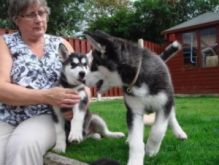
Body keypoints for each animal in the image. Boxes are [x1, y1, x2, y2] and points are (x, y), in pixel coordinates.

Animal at [84, 31, 187, 165]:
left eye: (94, 66)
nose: (82, 79)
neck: (137, 78)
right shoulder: (134, 111)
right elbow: (136, 141)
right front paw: (135, 159)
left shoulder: (164, 105)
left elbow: (158, 130)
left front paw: (151, 149)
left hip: (169, 100)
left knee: (172, 117)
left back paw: (179, 133)